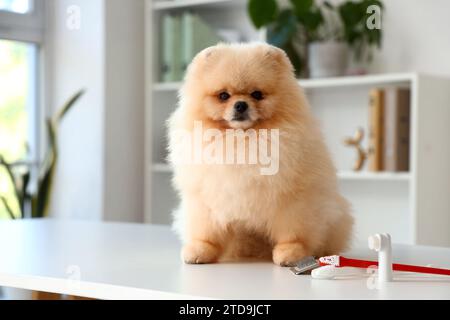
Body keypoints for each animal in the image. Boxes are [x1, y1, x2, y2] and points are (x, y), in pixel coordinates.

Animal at [167, 43, 354, 268]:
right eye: (223, 96)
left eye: (256, 94)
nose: (240, 104)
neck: (243, 140)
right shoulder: (207, 197)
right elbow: (206, 230)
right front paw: (202, 249)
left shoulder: (292, 198)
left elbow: (294, 230)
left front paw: (292, 252)